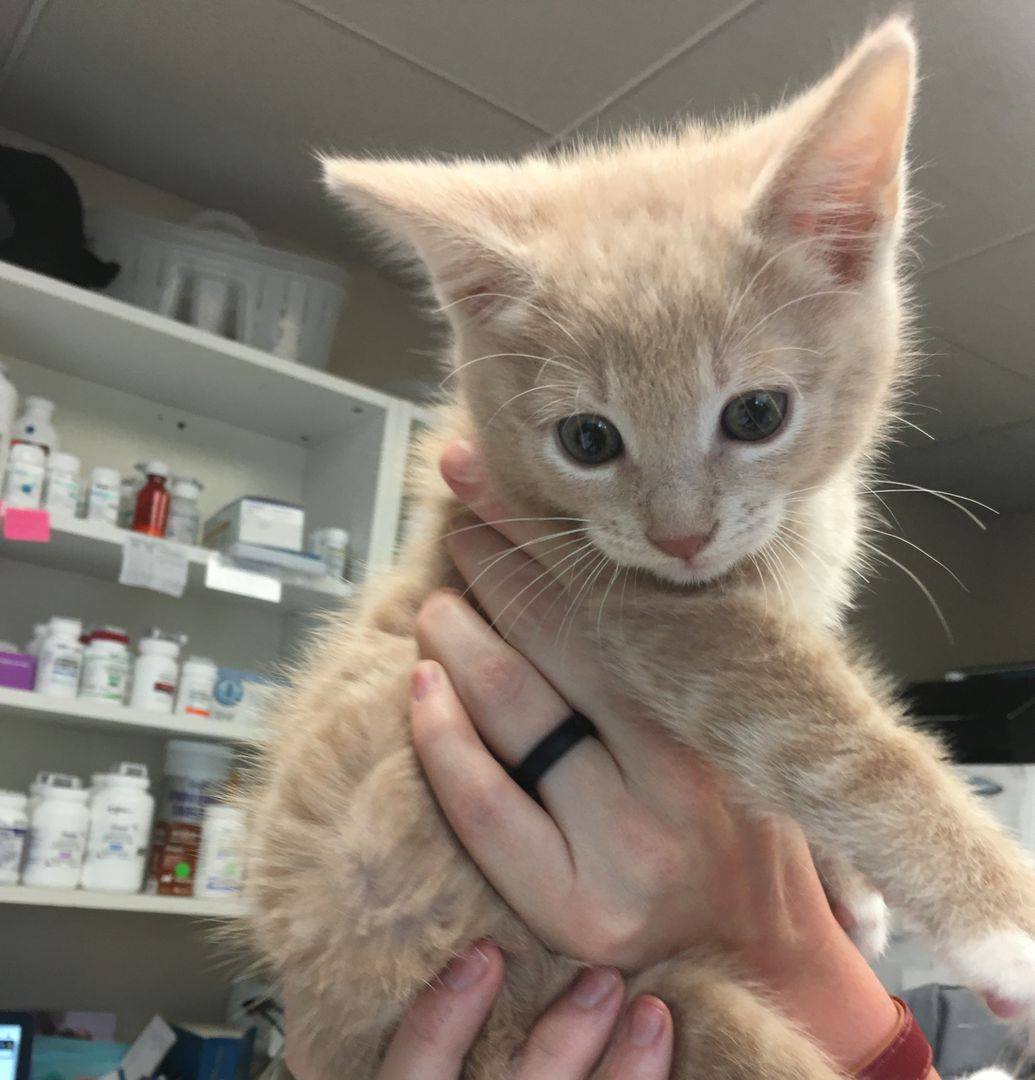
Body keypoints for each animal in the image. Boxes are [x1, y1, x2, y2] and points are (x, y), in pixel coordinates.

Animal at [243, 18, 1035, 1078]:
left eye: (755, 414)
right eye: (587, 439)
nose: (680, 534)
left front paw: (847, 889)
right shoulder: (621, 600)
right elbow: (832, 733)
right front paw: (1004, 924)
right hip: (633, 1002)